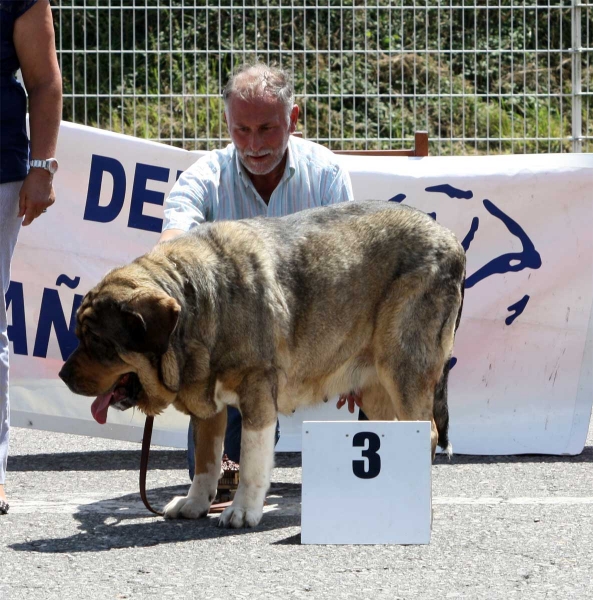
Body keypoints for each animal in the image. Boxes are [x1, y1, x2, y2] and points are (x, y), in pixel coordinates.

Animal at [61, 199, 468, 528]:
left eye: (96, 341)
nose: (63, 375)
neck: (198, 306)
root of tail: (451, 240)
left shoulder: (256, 390)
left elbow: (252, 457)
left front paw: (242, 510)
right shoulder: (208, 406)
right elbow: (207, 462)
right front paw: (195, 504)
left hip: (402, 367)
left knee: (428, 433)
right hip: (375, 387)